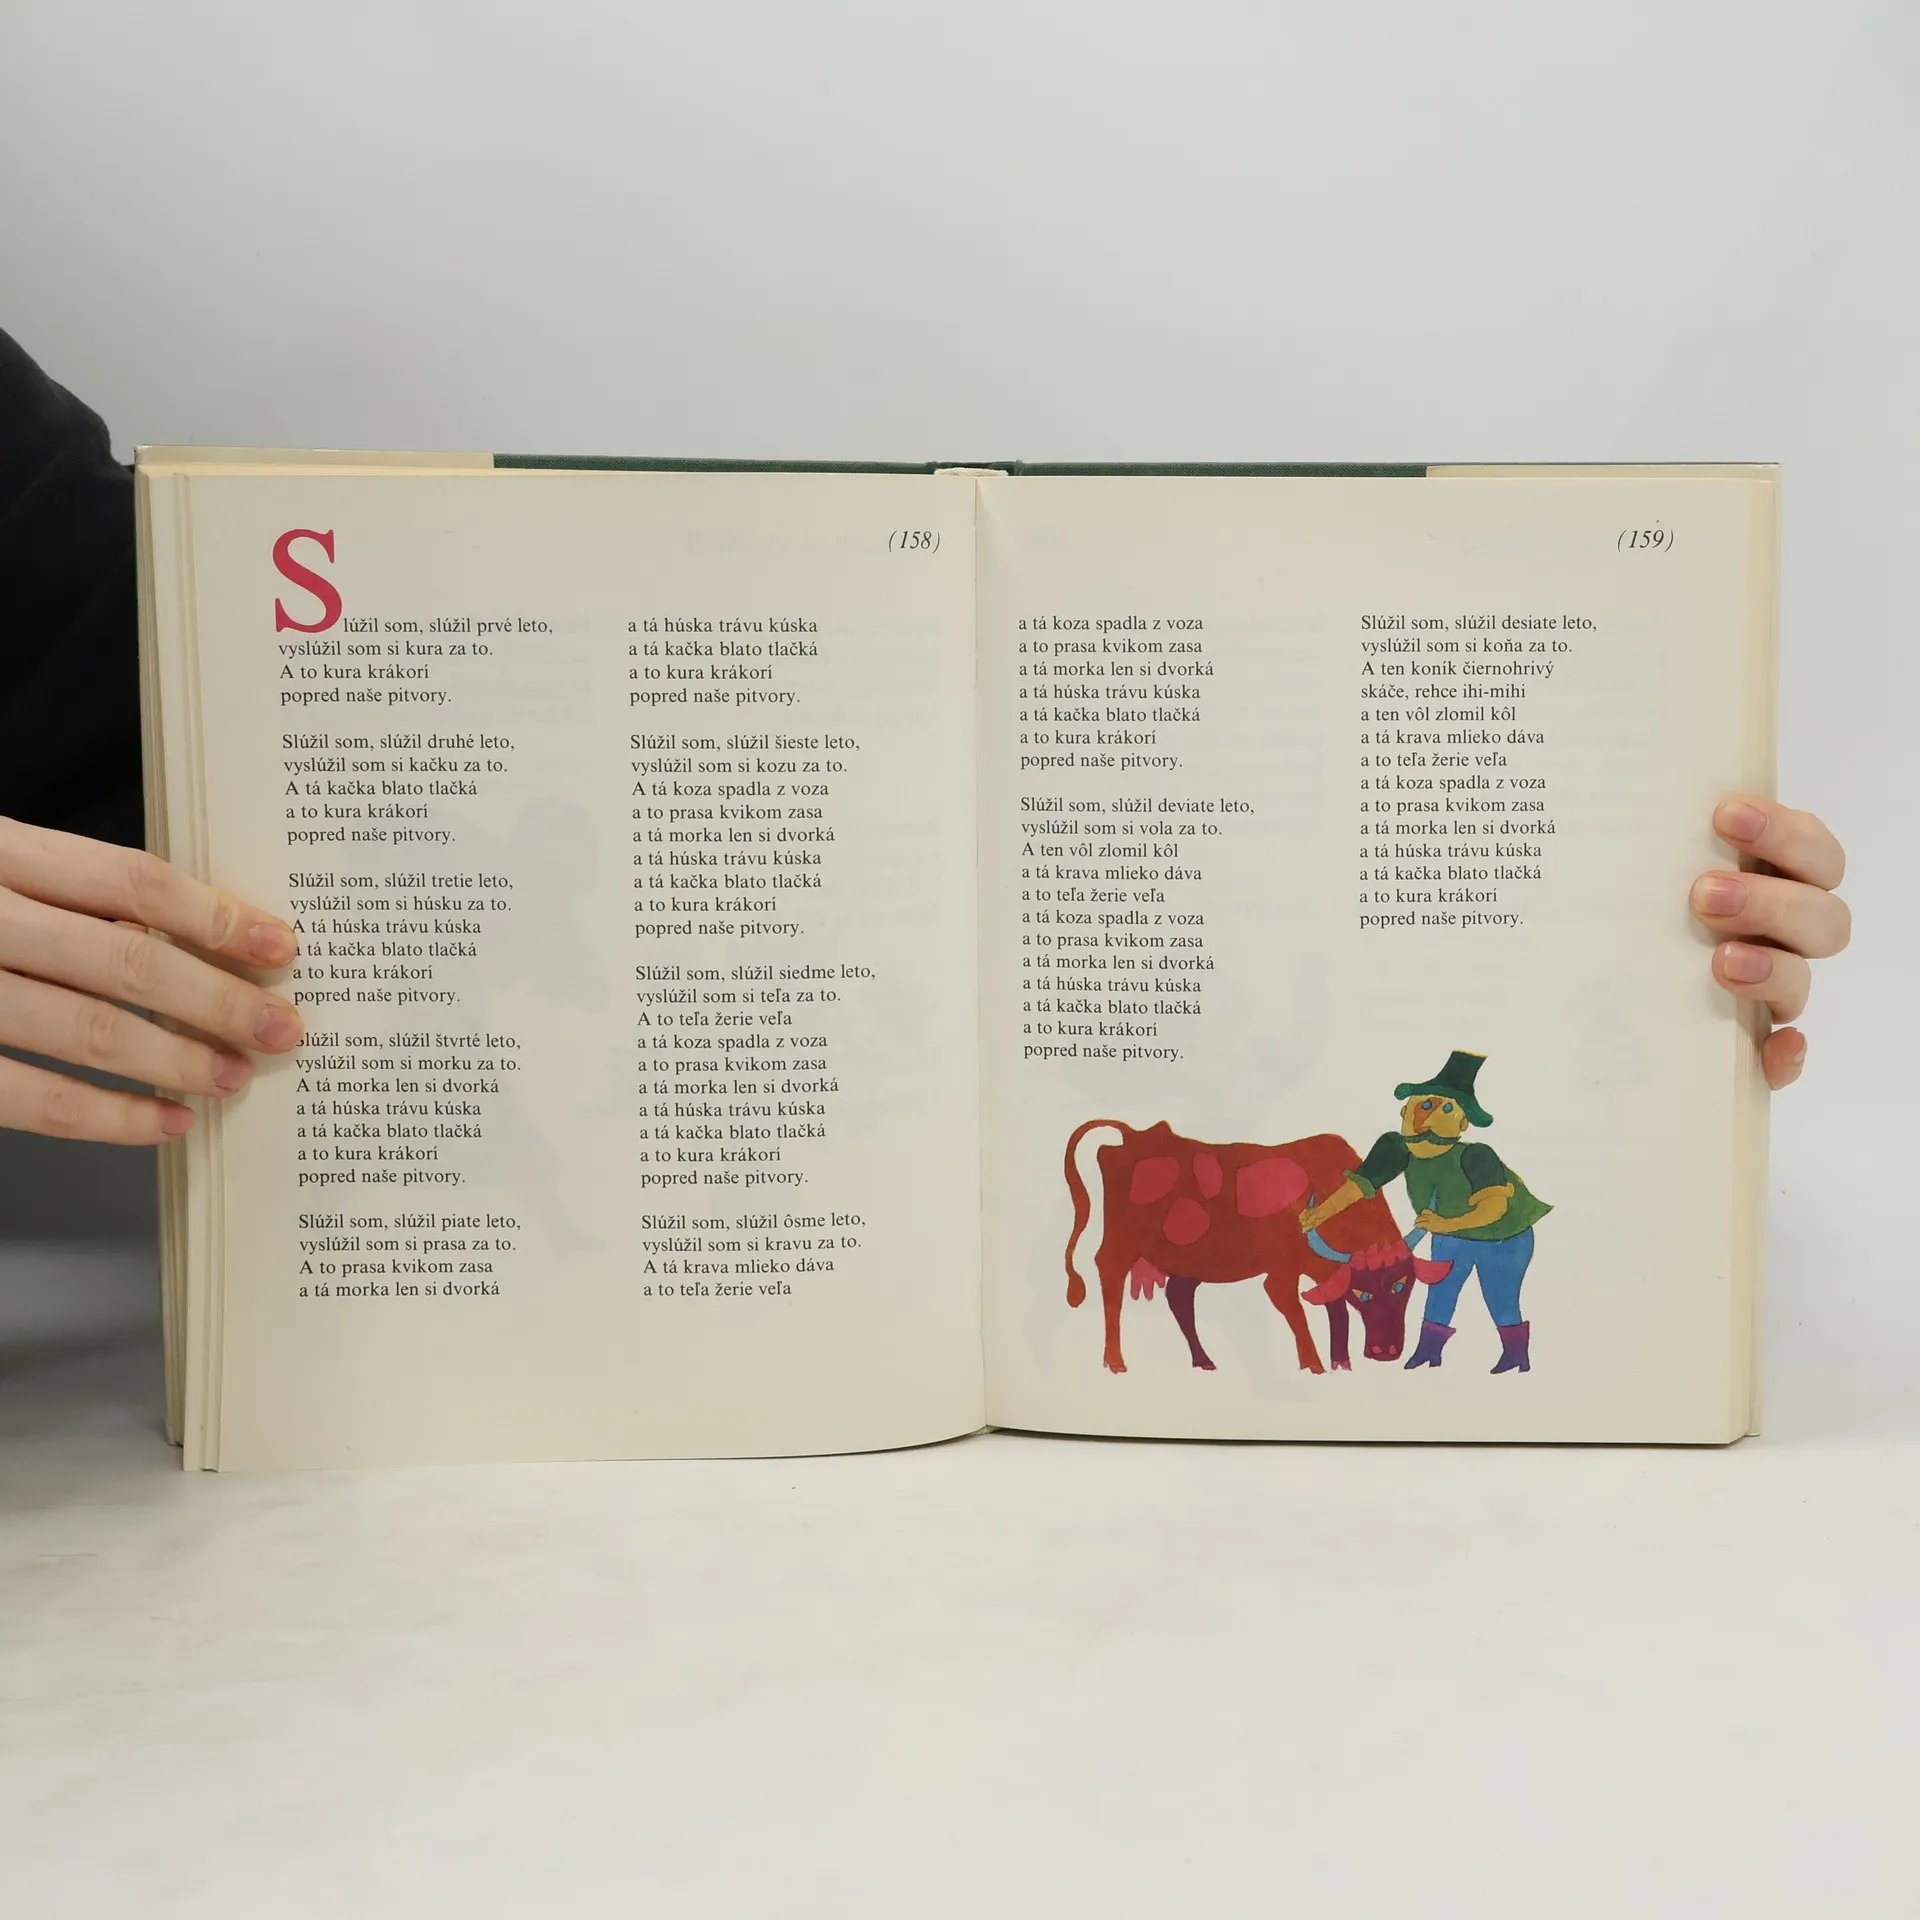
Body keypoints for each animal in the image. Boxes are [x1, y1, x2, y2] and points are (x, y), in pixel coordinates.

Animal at [1062, 1119, 1451, 1376]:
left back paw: (1203, 1361)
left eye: (1402, 1284)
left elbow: (1336, 1310)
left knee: (1178, 1296)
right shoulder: (1281, 1274)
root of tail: (1135, 1137)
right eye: (1363, 1292)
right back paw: (1115, 1361)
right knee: (1110, 1274)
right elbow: (1300, 1313)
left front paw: (1341, 1361)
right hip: (1123, 1241)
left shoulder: (1323, 1270)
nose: (1386, 1352)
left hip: (1192, 1258)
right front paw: (1314, 1366)